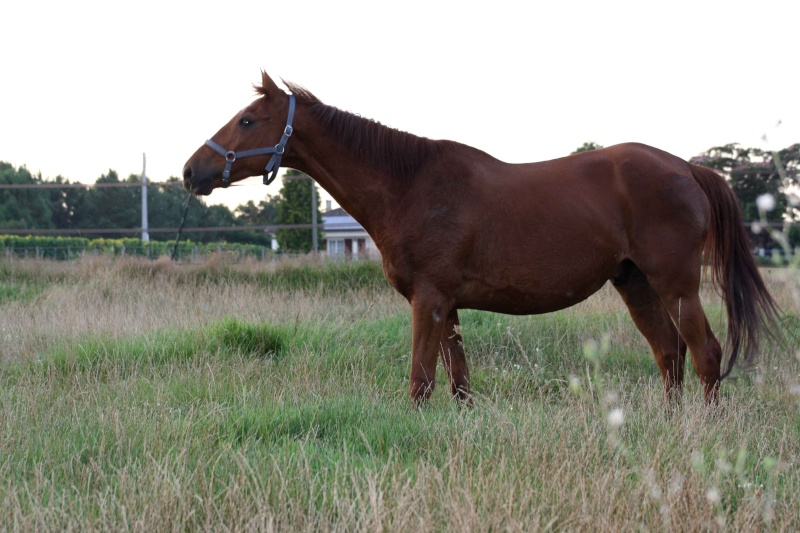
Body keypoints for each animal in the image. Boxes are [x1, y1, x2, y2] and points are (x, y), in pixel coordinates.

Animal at [184, 69, 780, 404]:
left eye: (247, 120)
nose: (192, 172)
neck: (410, 185)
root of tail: (687, 168)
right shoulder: (447, 305)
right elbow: (459, 383)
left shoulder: (428, 301)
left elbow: (421, 382)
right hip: (634, 283)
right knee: (669, 355)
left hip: (676, 284)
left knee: (705, 354)